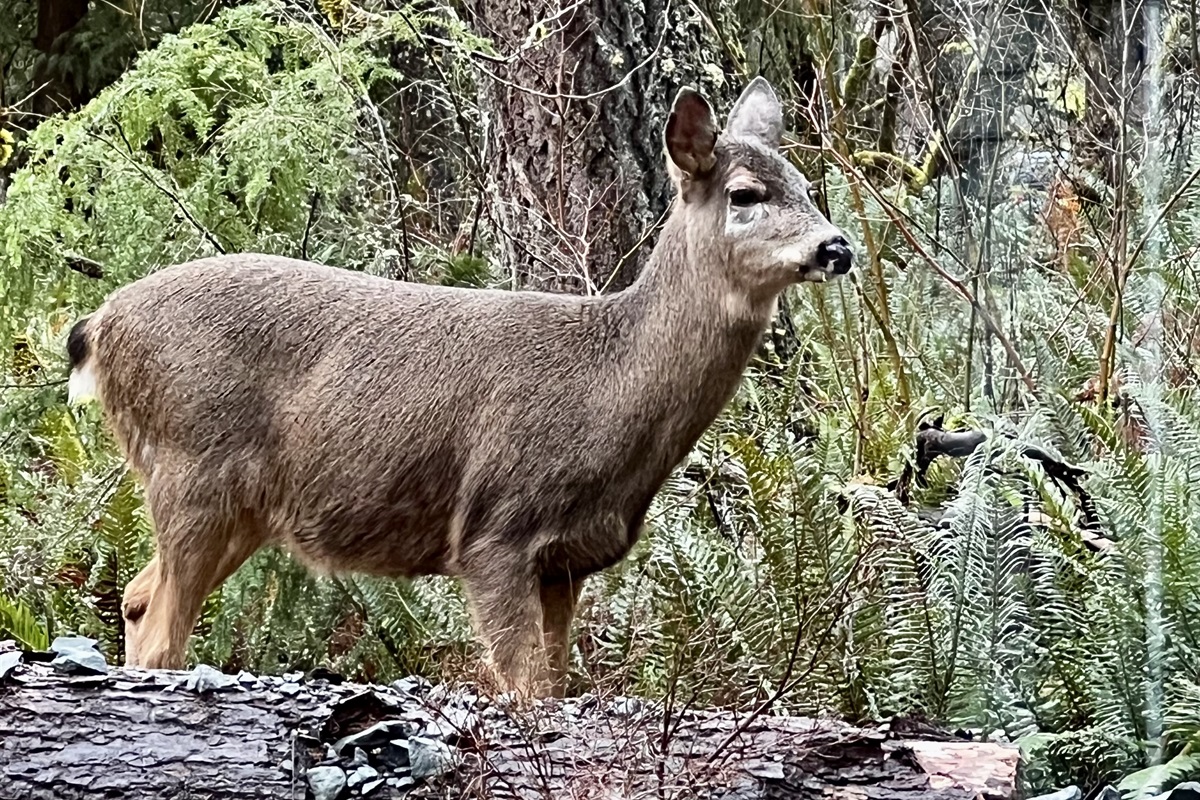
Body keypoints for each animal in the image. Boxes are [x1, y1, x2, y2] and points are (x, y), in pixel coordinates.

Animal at [65, 76, 854, 700]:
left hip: (238, 503)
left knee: (136, 597)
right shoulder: (495, 528)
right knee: (161, 630)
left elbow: (556, 686)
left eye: (806, 185)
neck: (608, 384)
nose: (837, 246)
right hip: (191, 464)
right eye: (744, 194)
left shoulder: (566, 560)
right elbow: (526, 690)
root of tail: (100, 325)